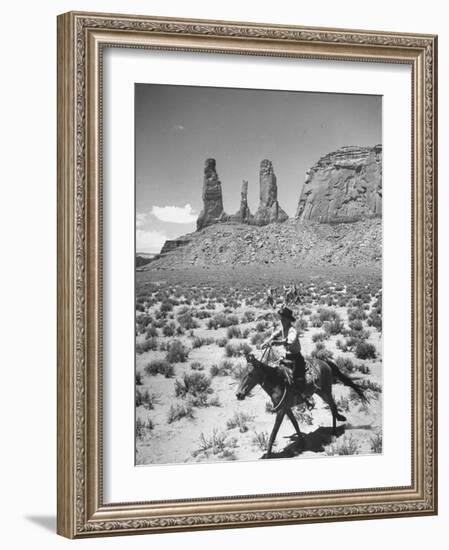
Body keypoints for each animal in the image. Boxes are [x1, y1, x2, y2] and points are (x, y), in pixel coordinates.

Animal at [236, 352, 366, 460]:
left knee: (333, 406)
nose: (238, 394)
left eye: (250, 374)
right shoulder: (286, 408)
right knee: (332, 406)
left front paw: (268, 455)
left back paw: (334, 432)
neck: (278, 383)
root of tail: (324, 362)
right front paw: (302, 442)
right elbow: (295, 423)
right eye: (241, 373)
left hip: (326, 391)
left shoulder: (281, 411)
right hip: (320, 392)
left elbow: (273, 433)